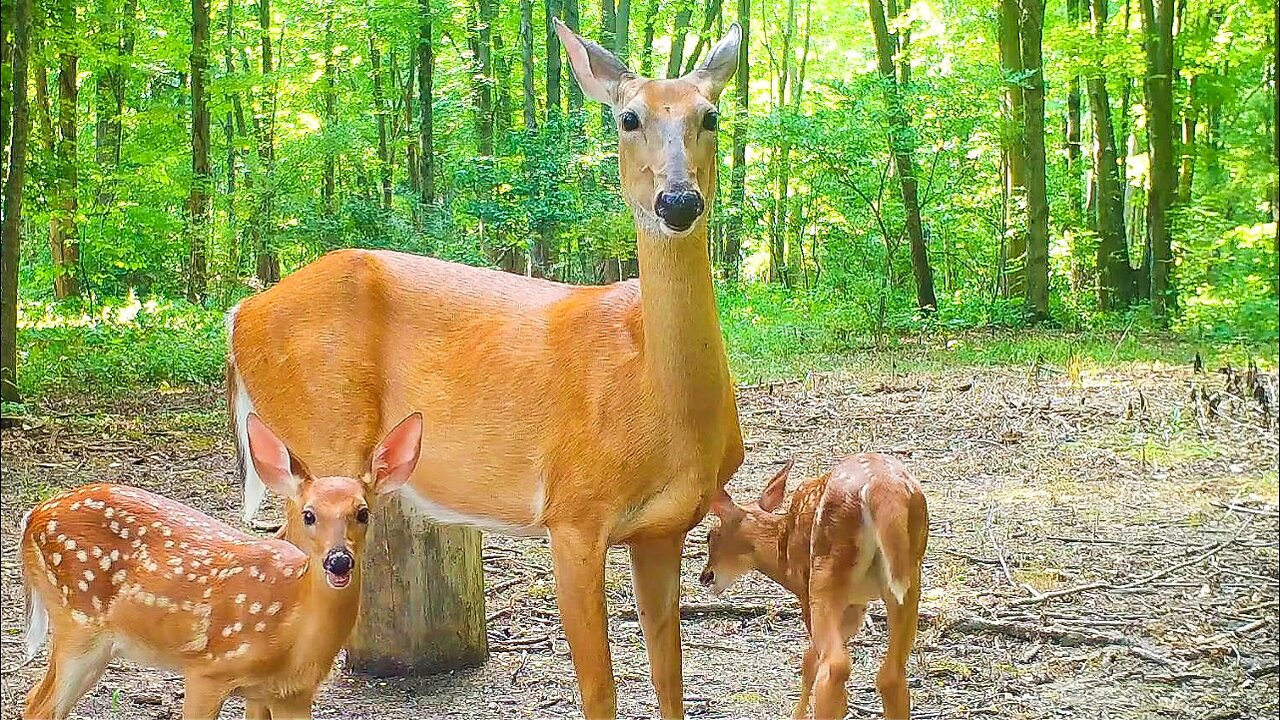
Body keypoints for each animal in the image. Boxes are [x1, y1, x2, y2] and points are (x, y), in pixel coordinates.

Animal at [18, 409, 424, 717]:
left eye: (363, 513)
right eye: (308, 514)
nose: (338, 561)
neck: (291, 636)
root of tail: (33, 516)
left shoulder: (289, 693)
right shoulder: (207, 669)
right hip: (78, 623)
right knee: (39, 703)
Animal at [226, 16, 747, 717]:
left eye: (711, 115)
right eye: (628, 117)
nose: (679, 201)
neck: (660, 400)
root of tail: (240, 314)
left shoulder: (664, 528)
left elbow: (670, 682)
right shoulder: (573, 512)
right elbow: (600, 691)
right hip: (317, 438)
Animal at [701, 453, 931, 717]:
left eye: (710, 535)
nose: (705, 577)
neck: (782, 549)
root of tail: (881, 488)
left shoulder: (805, 590)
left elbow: (809, 660)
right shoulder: (856, 605)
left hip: (826, 569)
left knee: (835, 665)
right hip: (910, 574)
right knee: (891, 674)